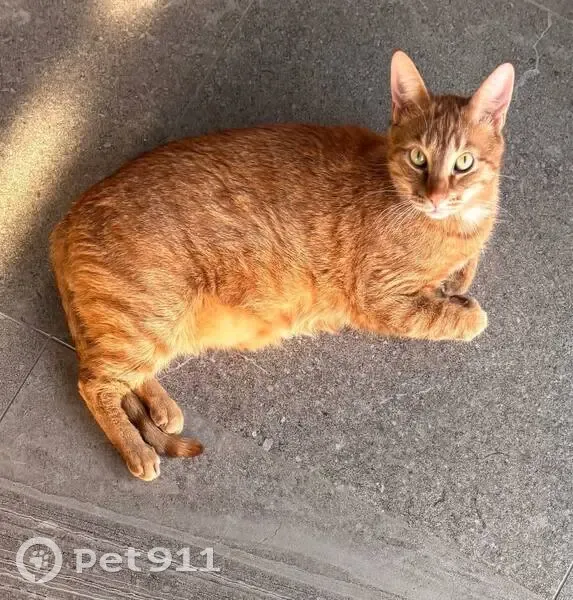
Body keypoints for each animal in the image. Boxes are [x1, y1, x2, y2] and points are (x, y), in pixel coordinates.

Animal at [50, 51, 514, 480]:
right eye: (418, 158)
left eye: (464, 162)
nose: (435, 196)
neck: (455, 224)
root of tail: (67, 217)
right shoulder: (379, 300)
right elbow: (449, 316)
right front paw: (464, 308)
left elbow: (464, 270)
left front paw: (456, 281)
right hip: (149, 317)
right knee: (93, 382)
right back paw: (137, 450)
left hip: (154, 328)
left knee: (122, 375)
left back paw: (162, 409)